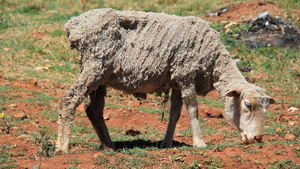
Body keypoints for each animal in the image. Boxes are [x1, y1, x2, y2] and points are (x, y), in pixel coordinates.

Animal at [55, 8, 276, 153]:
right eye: (247, 105)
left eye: (266, 110)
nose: (257, 138)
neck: (214, 61)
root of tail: (74, 24)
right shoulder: (186, 73)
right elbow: (193, 109)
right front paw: (199, 142)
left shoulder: (176, 80)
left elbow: (175, 113)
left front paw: (167, 143)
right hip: (95, 65)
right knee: (69, 99)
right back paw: (62, 148)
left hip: (100, 74)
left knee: (93, 109)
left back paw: (109, 146)